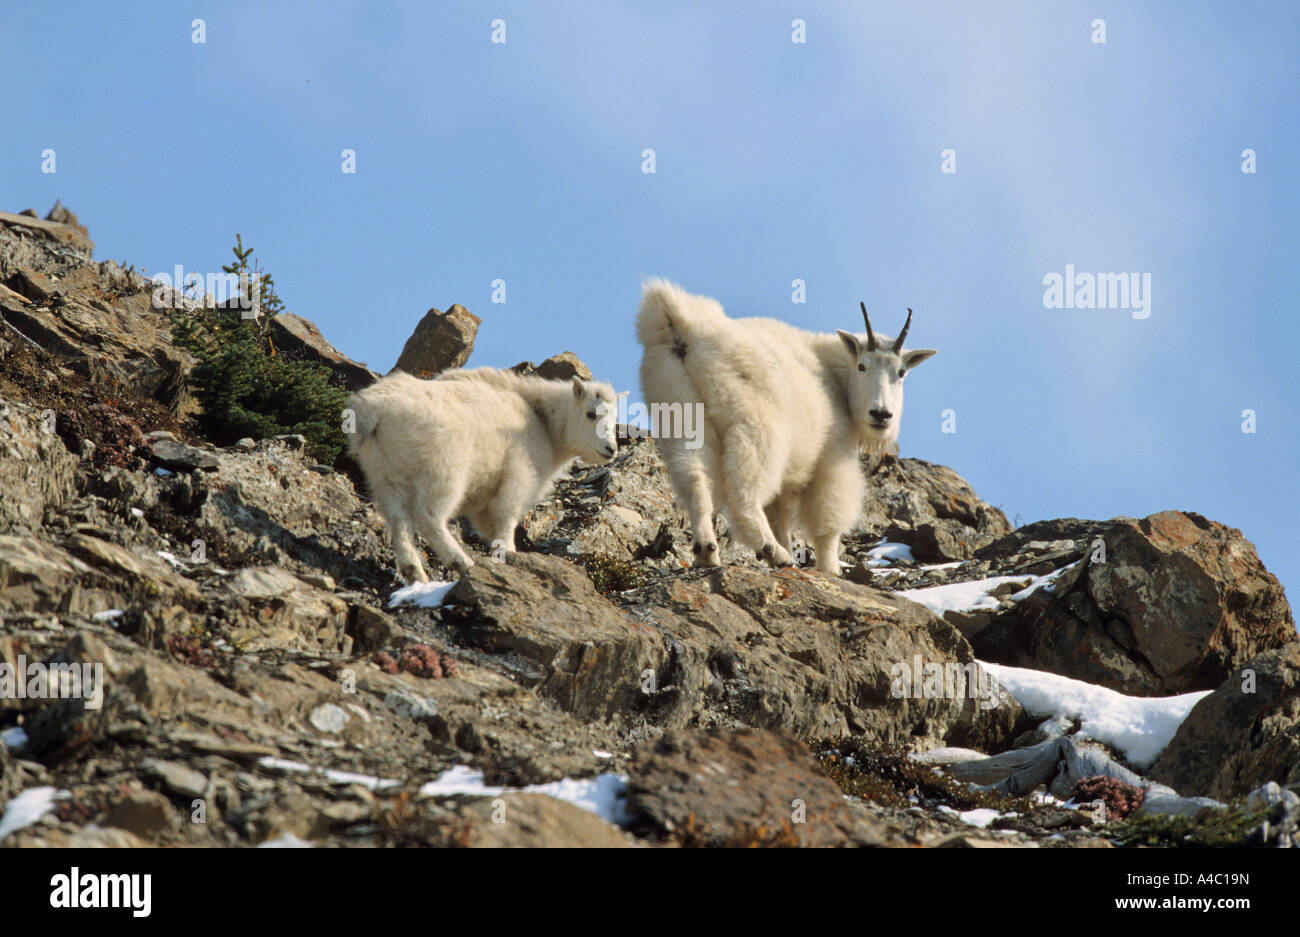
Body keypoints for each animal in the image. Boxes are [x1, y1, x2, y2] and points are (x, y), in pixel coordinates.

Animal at [347, 368, 619, 581]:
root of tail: (373, 410)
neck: (544, 422)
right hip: (443, 469)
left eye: (615, 417)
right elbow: (505, 519)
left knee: (398, 518)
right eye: (591, 413)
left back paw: (414, 571)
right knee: (429, 516)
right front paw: (510, 554)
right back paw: (461, 563)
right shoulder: (519, 474)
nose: (611, 449)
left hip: (385, 472)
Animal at [636, 279, 937, 574]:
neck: (835, 376)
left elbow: (781, 519)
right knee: (742, 493)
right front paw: (830, 569)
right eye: (862, 366)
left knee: (695, 477)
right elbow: (826, 524)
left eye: (901, 372)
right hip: (756, 427)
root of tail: (683, 327)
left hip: (679, 407)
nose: (881, 414)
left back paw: (706, 552)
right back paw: (773, 552)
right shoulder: (832, 457)